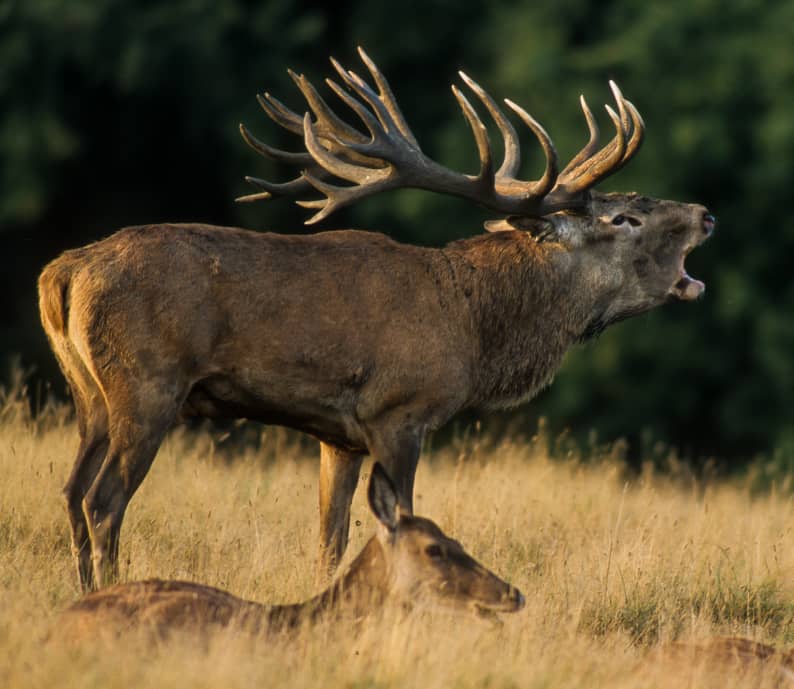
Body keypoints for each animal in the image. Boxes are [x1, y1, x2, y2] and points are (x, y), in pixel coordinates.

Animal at [38, 48, 716, 588]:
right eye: (624, 217)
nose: (705, 214)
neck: (474, 327)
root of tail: (62, 274)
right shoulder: (399, 411)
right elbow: (403, 520)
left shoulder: (336, 434)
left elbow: (329, 540)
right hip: (147, 385)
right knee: (104, 501)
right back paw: (110, 592)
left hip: (89, 396)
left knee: (71, 492)